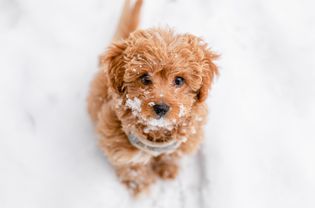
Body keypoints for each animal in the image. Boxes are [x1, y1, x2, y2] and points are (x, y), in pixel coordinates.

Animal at [87, 0, 218, 196]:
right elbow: (133, 165)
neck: (156, 132)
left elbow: (173, 155)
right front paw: (140, 184)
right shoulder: (118, 141)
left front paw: (168, 169)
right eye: (145, 78)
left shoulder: (185, 138)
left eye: (179, 80)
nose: (161, 108)